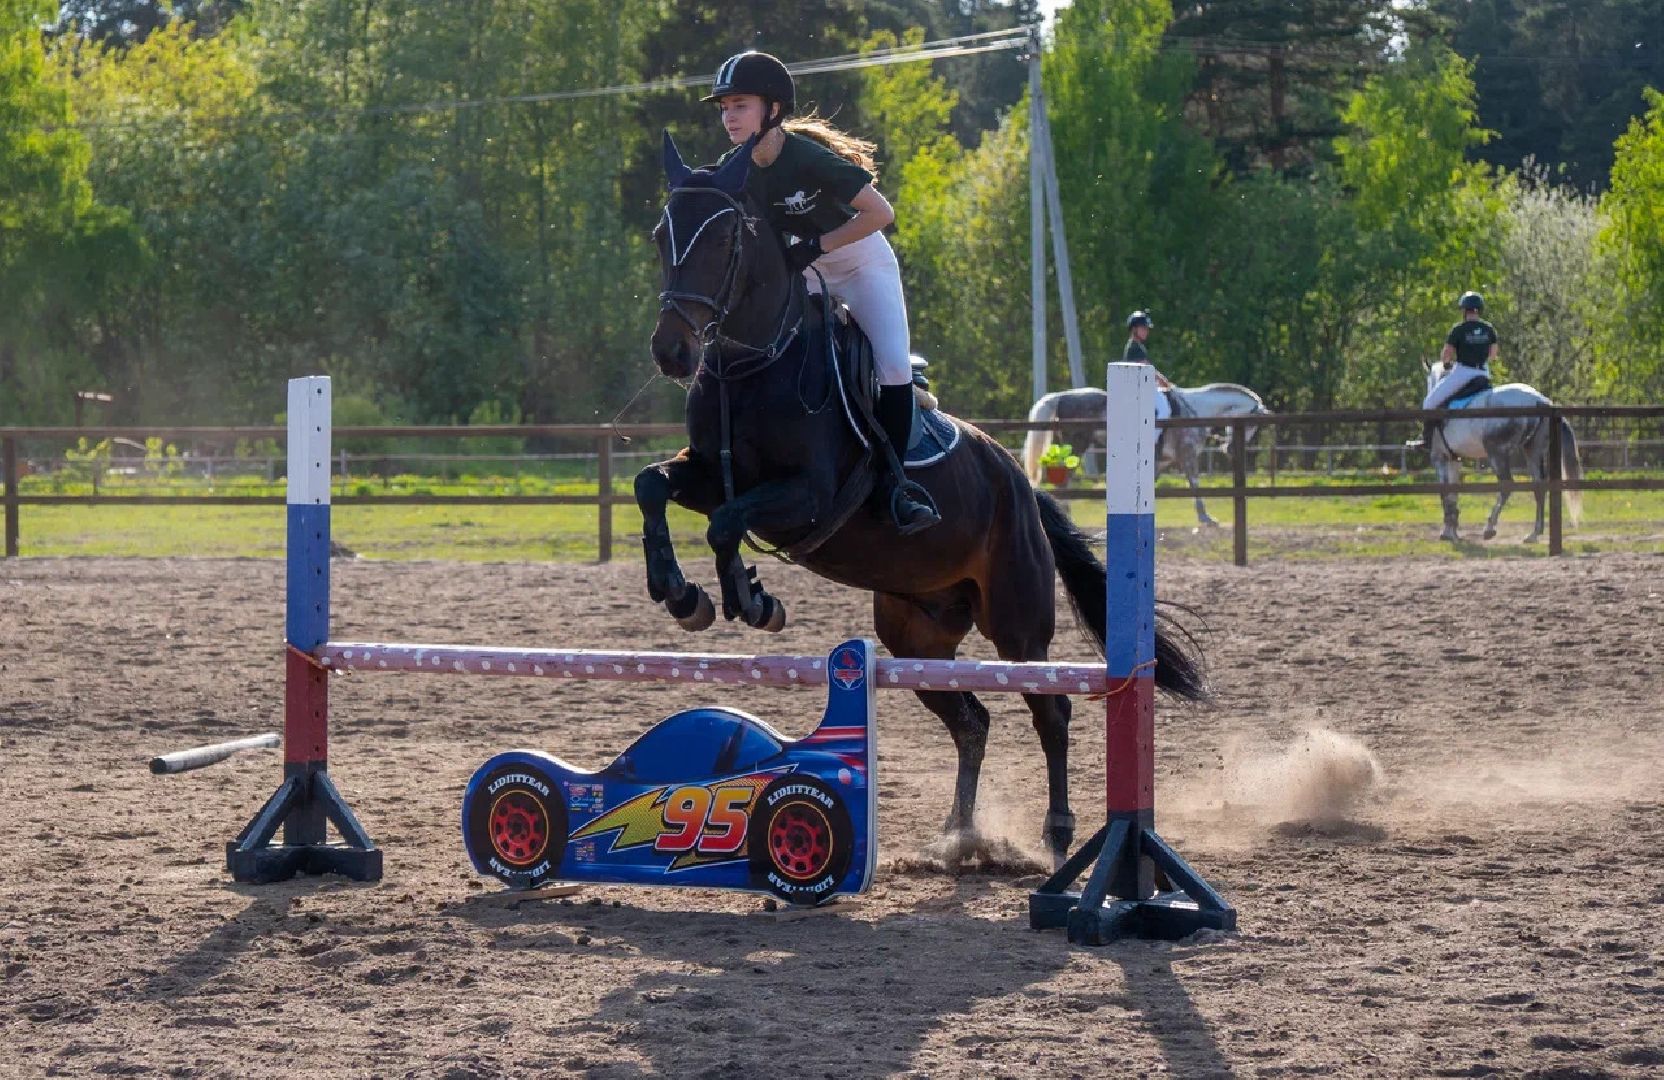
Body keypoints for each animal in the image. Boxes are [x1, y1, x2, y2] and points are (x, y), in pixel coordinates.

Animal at [634, 133, 1207, 865]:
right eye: (662, 235)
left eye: (725, 236)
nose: (671, 351)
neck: (755, 361)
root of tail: (1018, 483)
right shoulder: (709, 473)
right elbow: (653, 487)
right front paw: (682, 595)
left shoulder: (810, 496)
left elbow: (727, 524)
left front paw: (750, 599)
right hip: (915, 634)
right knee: (972, 719)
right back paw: (957, 836)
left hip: (1017, 622)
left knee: (1049, 710)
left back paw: (1055, 833)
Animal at [1023, 383, 1269, 526]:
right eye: (1253, 424)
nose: (1229, 449)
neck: (1197, 411)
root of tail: (1061, 396)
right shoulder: (1187, 456)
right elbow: (1195, 484)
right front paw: (1206, 517)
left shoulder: (1161, 463)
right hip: (1077, 445)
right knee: (1064, 481)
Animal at [1420, 361, 1584, 542]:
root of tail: (1540, 400)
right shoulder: (1453, 460)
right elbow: (1452, 494)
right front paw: (1452, 529)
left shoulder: (1439, 458)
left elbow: (1444, 493)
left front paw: (1448, 532)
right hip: (1532, 450)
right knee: (1538, 486)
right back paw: (1534, 533)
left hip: (1496, 454)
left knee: (1507, 485)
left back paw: (1490, 528)